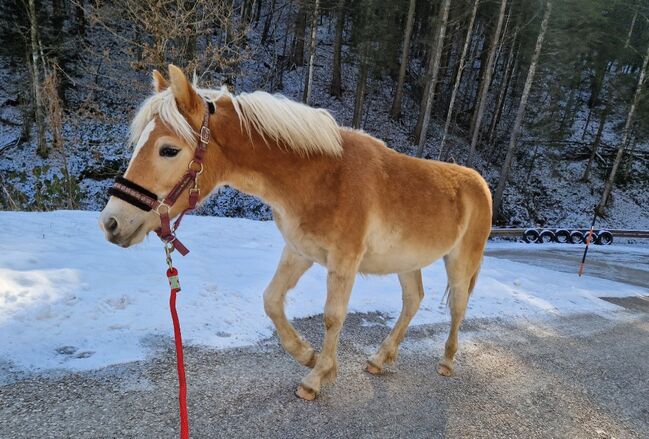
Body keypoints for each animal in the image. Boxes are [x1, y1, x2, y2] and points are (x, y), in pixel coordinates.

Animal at [98, 65, 492, 402]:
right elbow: (272, 301)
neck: (322, 177)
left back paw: (447, 361)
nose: (112, 222)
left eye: (168, 149)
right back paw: (380, 359)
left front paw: (316, 378)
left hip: (461, 262)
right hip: (407, 262)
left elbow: (333, 316)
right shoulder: (299, 252)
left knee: (458, 306)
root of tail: (480, 183)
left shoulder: (344, 262)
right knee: (413, 300)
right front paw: (307, 355)